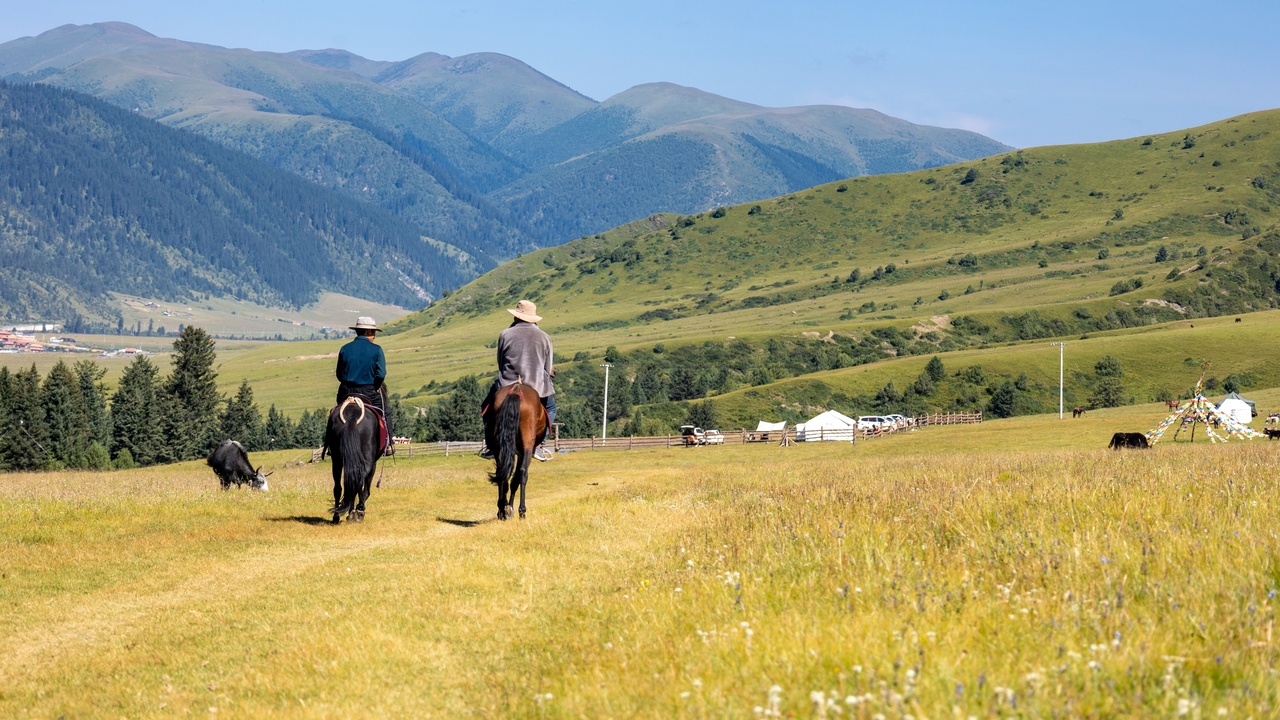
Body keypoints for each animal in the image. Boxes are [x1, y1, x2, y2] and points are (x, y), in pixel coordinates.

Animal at [485, 380, 548, 520]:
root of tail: (515, 389)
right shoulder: (522, 451)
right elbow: (516, 479)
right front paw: (512, 507)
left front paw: (507, 508)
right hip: (527, 446)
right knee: (522, 473)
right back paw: (522, 511)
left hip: (499, 447)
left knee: (501, 473)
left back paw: (501, 510)